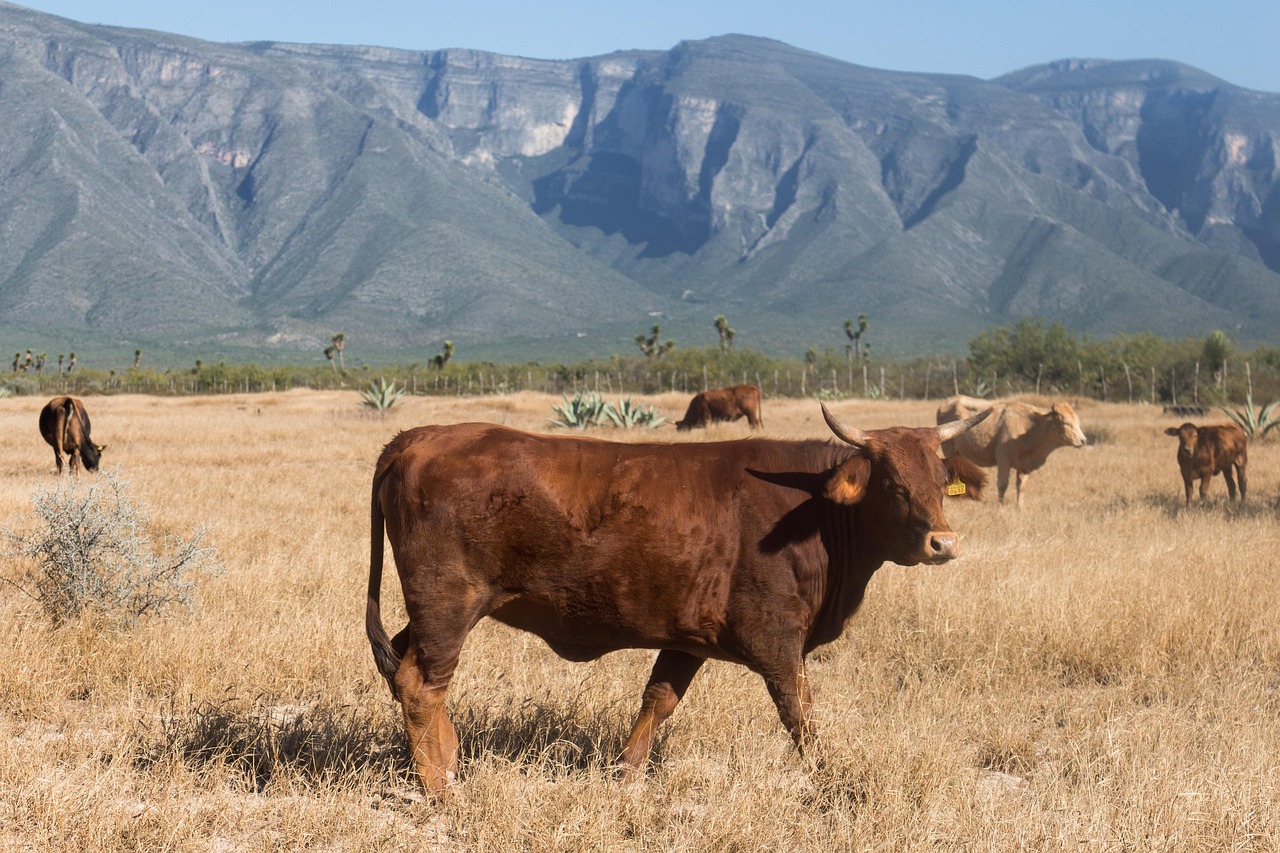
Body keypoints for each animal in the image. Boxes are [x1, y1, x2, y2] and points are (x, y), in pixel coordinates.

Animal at [365, 404, 991, 795]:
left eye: (941, 480)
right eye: (891, 484)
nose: (944, 543)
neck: (812, 509)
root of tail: (416, 437)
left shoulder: (687, 639)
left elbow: (657, 701)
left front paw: (625, 777)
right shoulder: (778, 641)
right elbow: (801, 715)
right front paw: (829, 778)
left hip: (429, 614)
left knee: (406, 672)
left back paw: (449, 764)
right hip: (448, 606)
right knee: (421, 685)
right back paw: (442, 789)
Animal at [935, 395, 1086, 507]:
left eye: (1077, 422)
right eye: (1066, 423)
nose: (1083, 440)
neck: (1031, 427)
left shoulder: (1024, 466)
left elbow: (1021, 486)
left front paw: (1020, 506)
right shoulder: (1004, 461)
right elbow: (1003, 484)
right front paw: (1001, 505)